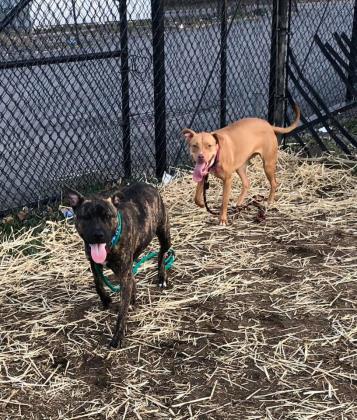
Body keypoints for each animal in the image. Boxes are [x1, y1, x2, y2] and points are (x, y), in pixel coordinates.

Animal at [68, 183, 172, 348]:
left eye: (108, 216)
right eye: (86, 217)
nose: (98, 235)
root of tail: (148, 185)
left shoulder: (123, 275)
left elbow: (122, 311)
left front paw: (118, 335)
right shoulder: (94, 264)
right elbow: (98, 283)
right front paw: (106, 299)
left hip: (164, 233)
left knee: (162, 253)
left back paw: (162, 276)